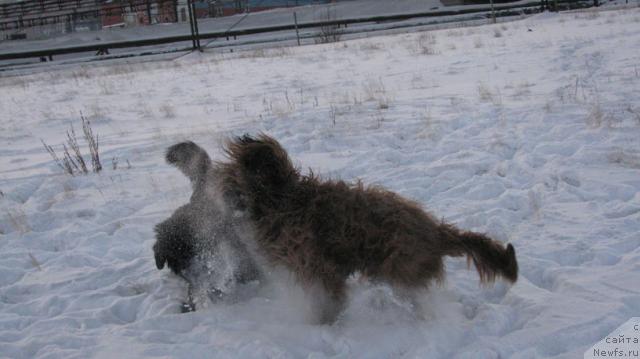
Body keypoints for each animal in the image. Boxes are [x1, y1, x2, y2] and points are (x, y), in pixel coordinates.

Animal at [218, 135, 516, 324]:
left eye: (233, 175)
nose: (221, 192)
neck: (284, 199)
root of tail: (436, 232)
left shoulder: (318, 267)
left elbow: (328, 300)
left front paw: (321, 325)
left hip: (400, 268)